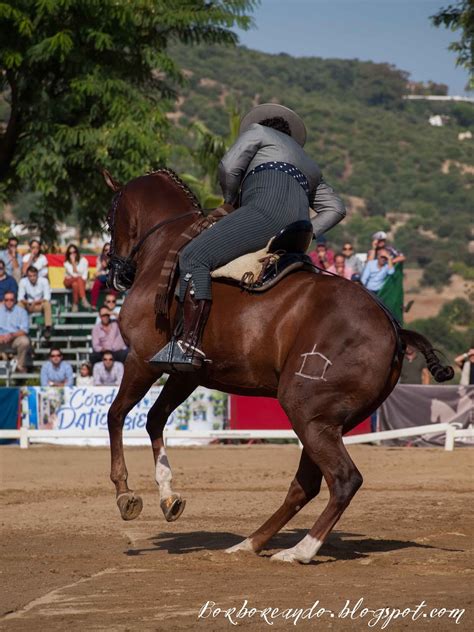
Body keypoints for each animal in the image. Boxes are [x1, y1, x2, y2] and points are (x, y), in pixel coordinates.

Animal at [103, 167, 452, 564]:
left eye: (109, 218)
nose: (115, 273)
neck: (167, 245)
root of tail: (393, 325)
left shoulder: (140, 359)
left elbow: (116, 416)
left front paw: (125, 495)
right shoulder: (185, 372)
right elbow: (154, 419)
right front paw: (168, 497)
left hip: (306, 411)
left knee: (343, 480)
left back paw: (299, 550)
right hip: (325, 422)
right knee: (306, 485)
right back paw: (250, 543)